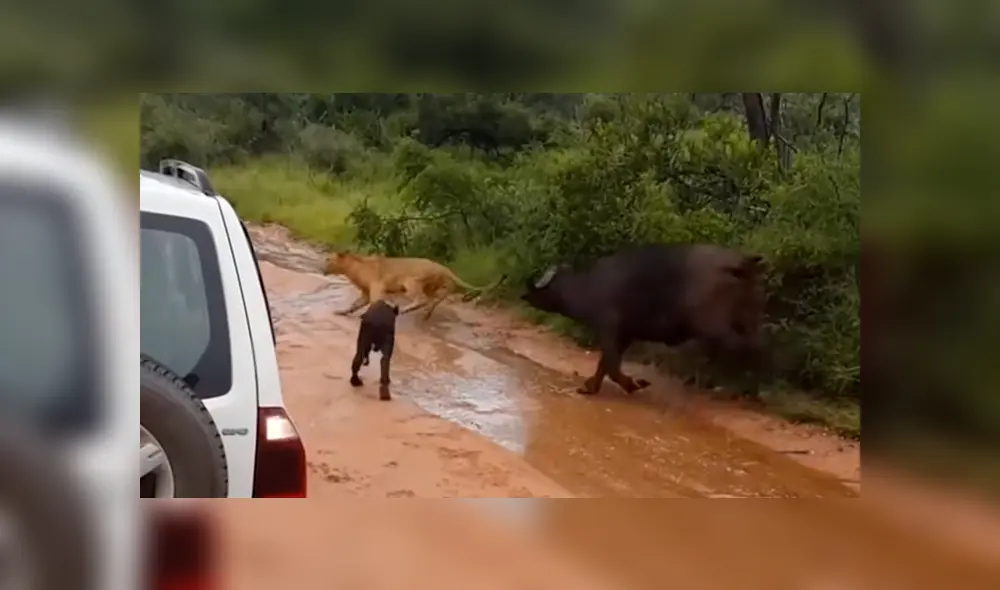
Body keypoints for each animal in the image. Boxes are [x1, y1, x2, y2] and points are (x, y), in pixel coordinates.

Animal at [322, 251, 507, 320]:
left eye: (329, 259)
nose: (322, 267)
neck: (353, 267)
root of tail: (444, 268)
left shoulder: (377, 287)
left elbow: (375, 302)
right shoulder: (366, 293)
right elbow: (354, 304)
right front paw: (341, 312)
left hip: (411, 282)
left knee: (421, 299)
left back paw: (405, 310)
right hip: (431, 286)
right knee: (433, 299)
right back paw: (426, 314)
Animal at [521, 244, 767, 396]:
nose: (525, 294)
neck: (588, 286)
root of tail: (740, 263)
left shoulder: (609, 329)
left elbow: (611, 365)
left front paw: (634, 384)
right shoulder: (625, 335)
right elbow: (605, 364)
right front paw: (591, 387)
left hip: (714, 326)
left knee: (747, 347)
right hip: (748, 318)